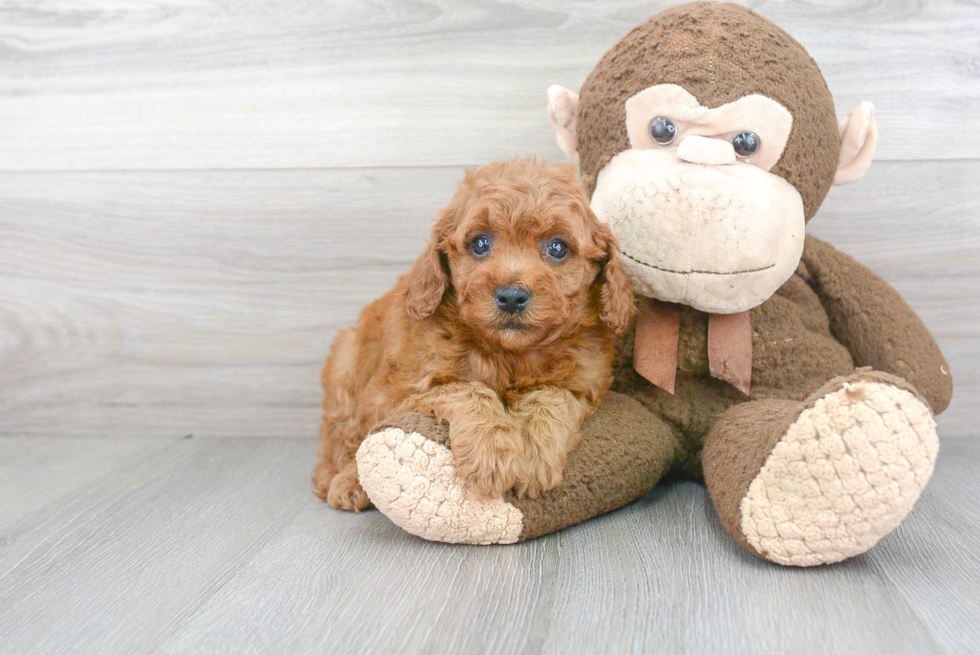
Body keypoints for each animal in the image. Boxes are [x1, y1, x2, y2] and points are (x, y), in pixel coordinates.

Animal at [314, 159, 636, 512]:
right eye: (480, 243)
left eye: (557, 248)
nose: (511, 296)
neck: (509, 354)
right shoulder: (395, 393)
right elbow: (465, 388)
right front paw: (490, 450)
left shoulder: (584, 385)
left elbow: (552, 395)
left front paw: (534, 451)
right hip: (345, 367)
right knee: (338, 445)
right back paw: (346, 482)